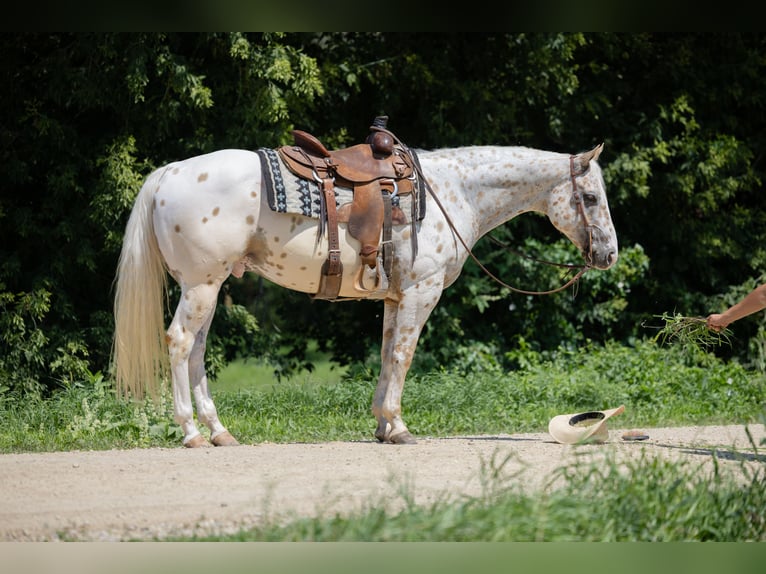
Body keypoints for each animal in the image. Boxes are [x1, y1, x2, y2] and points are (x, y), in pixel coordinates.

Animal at [112, 141, 618, 447]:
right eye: (591, 198)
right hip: (201, 285)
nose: (609, 254)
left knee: (197, 351)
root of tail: (170, 172)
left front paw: (382, 425)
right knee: (180, 343)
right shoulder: (420, 292)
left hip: (210, 288)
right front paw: (400, 427)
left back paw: (220, 432)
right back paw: (192, 433)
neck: (453, 192)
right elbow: (403, 357)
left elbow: (386, 354)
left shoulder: (395, 298)